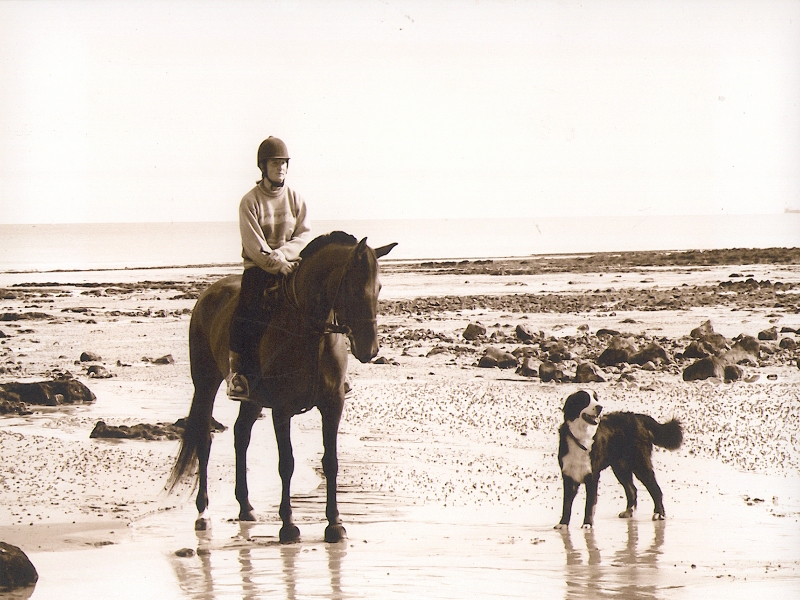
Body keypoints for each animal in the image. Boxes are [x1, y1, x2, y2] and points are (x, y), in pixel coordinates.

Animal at [169, 231, 396, 544]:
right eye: (352, 288)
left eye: (379, 287)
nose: (369, 349)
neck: (311, 333)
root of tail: (208, 295)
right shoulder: (282, 409)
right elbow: (286, 463)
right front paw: (288, 525)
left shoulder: (333, 404)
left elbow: (331, 462)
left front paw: (334, 523)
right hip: (205, 383)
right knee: (205, 439)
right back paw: (203, 512)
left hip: (251, 399)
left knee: (241, 435)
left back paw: (246, 507)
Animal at [556, 386, 680, 528]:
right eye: (585, 400)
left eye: (596, 399)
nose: (600, 407)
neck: (581, 437)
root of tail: (637, 417)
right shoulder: (568, 475)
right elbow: (566, 505)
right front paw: (563, 524)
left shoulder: (592, 476)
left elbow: (589, 505)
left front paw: (587, 524)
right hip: (621, 467)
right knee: (632, 489)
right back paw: (629, 511)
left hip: (640, 464)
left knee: (655, 489)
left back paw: (659, 513)